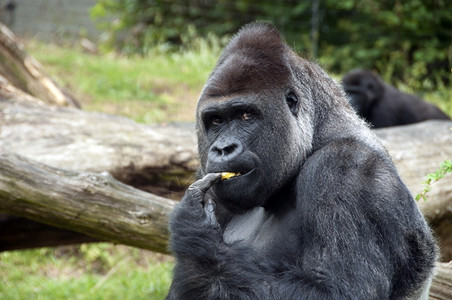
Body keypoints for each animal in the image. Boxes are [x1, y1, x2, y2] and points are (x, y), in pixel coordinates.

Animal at [167, 24, 438, 300]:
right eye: (216, 120)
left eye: (246, 116)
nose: (223, 149)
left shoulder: (346, 169)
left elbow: (338, 290)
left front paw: (196, 237)